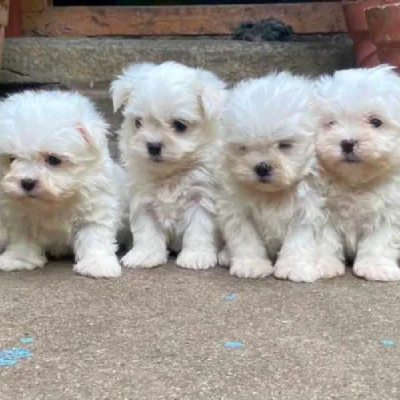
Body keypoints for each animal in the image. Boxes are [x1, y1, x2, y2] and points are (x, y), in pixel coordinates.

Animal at [0, 90, 125, 278]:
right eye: (12, 158)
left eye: (53, 159)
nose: (27, 182)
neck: (55, 202)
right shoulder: (19, 215)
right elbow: (22, 238)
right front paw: (19, 259)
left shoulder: (95, 209)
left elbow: (95, 236)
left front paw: (97, 264)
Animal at [111, 61, 227, 270]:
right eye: (138, 122)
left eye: (180, 125)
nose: (153, 146)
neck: (170, 175)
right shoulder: (144, 200)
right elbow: (147, 231)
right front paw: (145, 255)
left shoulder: (202, 198)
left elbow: (199, 229)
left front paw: (196, 256)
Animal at [217, 71, 336, 282]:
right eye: (243, 147)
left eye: (285, 144)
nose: (262, 167)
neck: (273, 194)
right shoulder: (238, 211)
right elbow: (246, 239)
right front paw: (252, 265)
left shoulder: (306, 210)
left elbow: (298, 242)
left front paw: (293, 268)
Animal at [318, 65, 400, 282]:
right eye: (331, 123)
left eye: (375, 122)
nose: (347, 143)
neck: (356, 182)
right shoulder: (323, 209)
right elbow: (326, 239)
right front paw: (325, 264)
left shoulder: (390, 213)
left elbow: (380, 241)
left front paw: (375, 267)